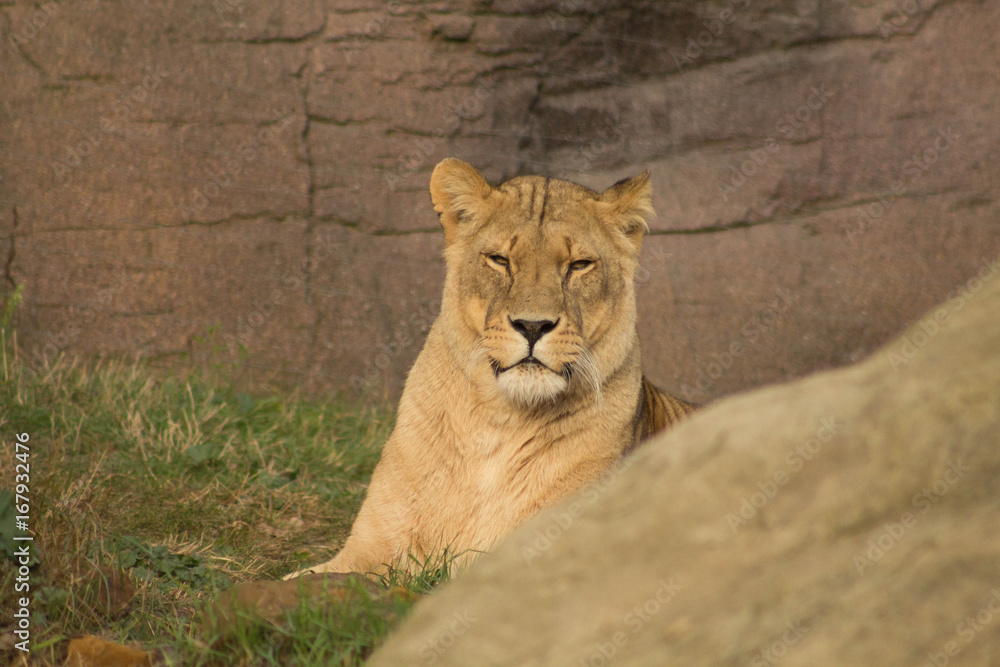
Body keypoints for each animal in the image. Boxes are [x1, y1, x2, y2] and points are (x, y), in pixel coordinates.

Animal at [284, 158, 696, 579]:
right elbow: (308, 578)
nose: (533, 326)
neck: (499, 421)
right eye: (500, 260)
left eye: (579, 265)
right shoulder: (368, 548)